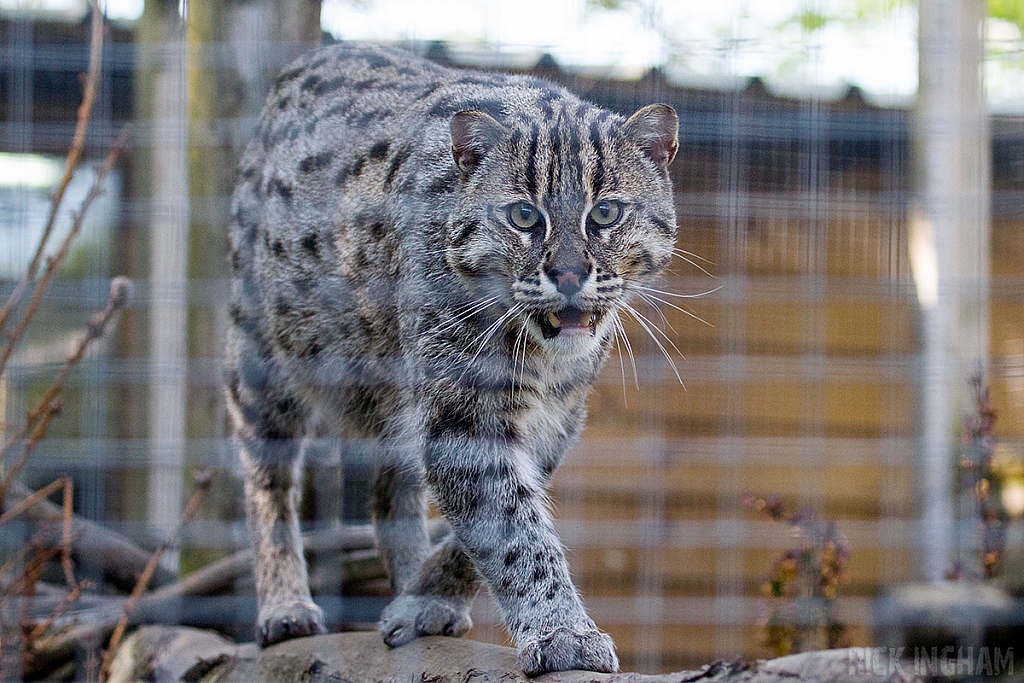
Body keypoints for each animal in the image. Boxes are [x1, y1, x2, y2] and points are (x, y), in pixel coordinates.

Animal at [227, 44, 679, 679]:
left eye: (607, 213)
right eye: (522, 216)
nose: (568, 275)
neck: (539, 358)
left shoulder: (555, 418)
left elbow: (492, 521)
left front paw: (428, 597)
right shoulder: (461, 411)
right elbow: (510, 528)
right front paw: (563, 634)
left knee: (388, 489)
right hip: (261, 354)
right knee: (266, 476)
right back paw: (284, 606)